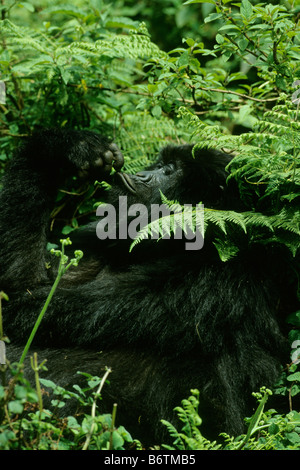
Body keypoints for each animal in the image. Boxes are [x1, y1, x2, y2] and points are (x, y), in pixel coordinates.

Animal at [0, 129, 296, 444]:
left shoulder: (210, 278)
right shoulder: (93, 244)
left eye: (169, 171)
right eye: (160, 164)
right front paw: (69, 146)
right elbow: (19, 284)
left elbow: (24, 311)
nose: (141, 174)